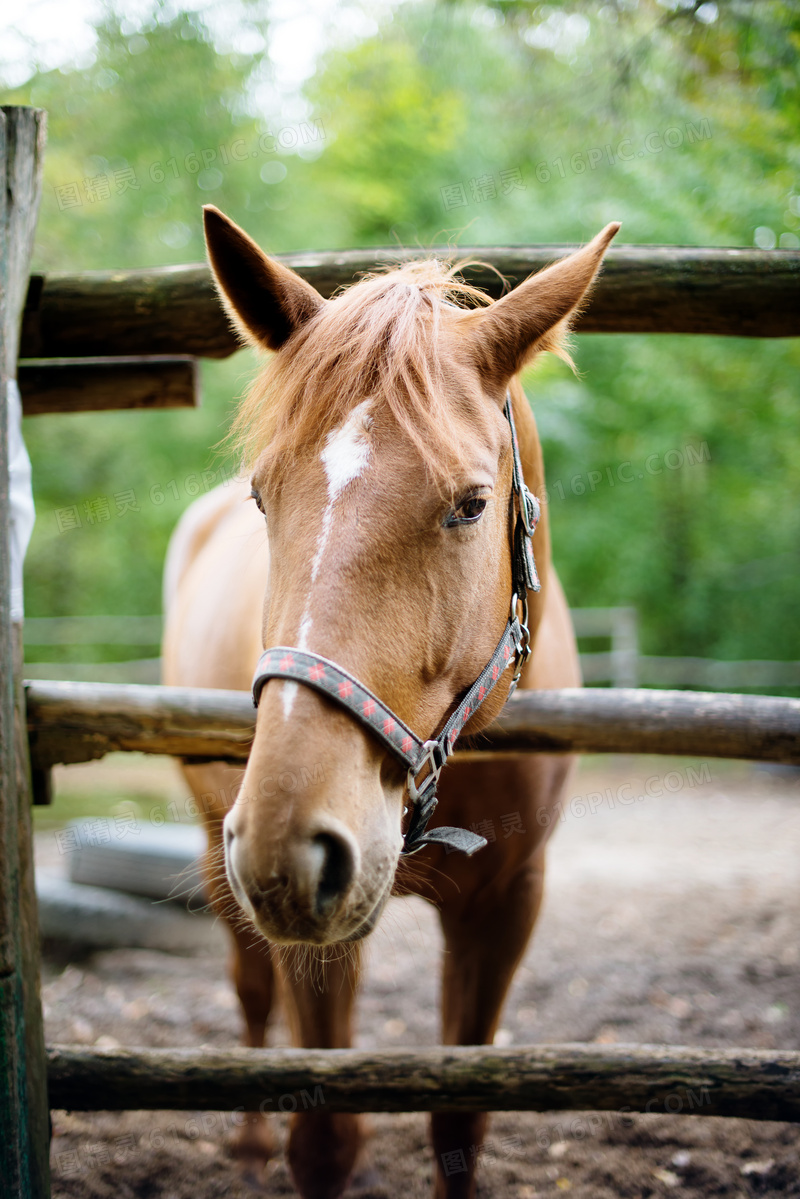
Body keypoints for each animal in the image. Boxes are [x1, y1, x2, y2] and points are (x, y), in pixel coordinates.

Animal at [163, 208, 618, 1199]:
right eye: (264, 495)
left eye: (472, 504)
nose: (290, 846)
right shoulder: (306, 926)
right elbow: (325, 1140)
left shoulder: (507, 905)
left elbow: (459, 1122)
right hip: (216, 838)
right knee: (249, 987)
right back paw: (247, 1139)